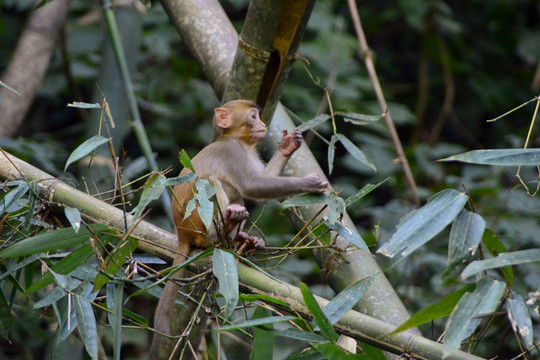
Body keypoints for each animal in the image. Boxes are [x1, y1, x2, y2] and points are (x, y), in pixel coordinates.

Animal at [150, 99, 326, 358]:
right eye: (253, 116)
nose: (262, 124)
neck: (237, 140)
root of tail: (180, 232)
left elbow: (257, 183)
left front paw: (287, 147)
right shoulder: (232, 153)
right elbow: (254, 186)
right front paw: (308, 183)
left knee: (235, 196)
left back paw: (240, 240)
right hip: (196, 222)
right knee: (210, 181)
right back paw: (222, 233)